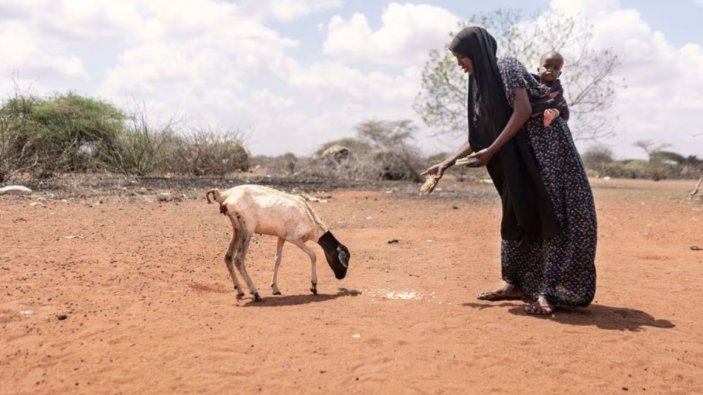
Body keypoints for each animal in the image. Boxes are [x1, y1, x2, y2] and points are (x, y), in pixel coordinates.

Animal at [205, 186, 350, 304]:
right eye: (344, 258)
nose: (341, 276)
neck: (309, 216)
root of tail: (224, 195)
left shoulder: (282, 237)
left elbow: (277, 259)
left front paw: (275, 288)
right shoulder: (294, 239)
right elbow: (313, 255)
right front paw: (313, 286)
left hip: (237, 230)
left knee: (228, 257)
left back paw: (240, 291)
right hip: (247, 230)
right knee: (238, 259)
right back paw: (256, 294)